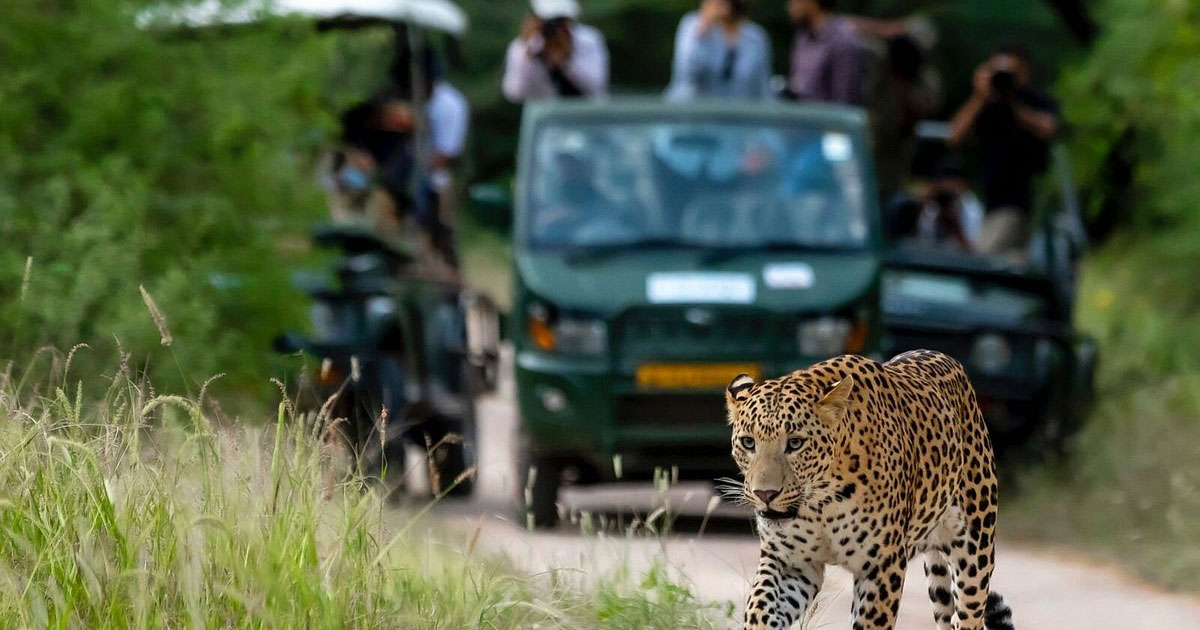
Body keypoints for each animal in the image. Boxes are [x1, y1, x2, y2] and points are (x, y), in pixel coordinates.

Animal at [724, 348, 1017, 628]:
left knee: (969, 615)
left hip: (974, 555)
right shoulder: (789, 563)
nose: (765, 494)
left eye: (795, 443)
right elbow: (759, 612)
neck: (821, 502)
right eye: (748, 443)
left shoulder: (881, 567)